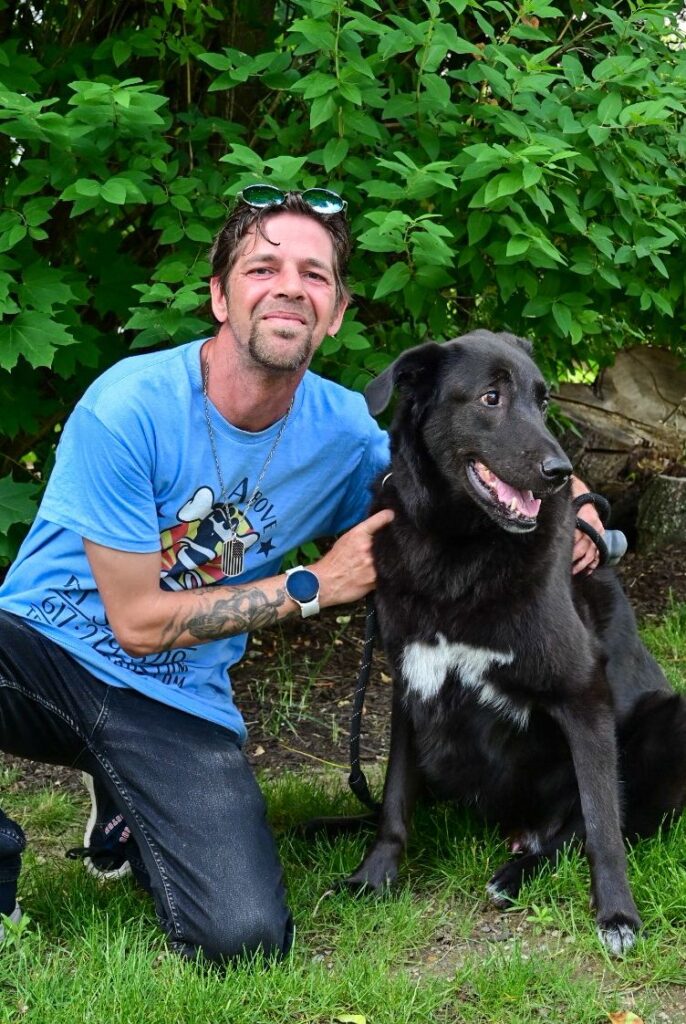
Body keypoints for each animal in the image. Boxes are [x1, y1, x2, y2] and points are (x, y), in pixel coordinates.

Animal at [346, 331, 686, 954]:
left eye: (543, 400)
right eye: (490, 398)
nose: (561, 472)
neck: (458, 550)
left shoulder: (583, 693)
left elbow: (602, 824)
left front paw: (618, 916)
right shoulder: (409, 686)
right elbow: (394, 801)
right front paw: (374, 876)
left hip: (671, 724)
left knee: (590, 826)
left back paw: (516, 873)